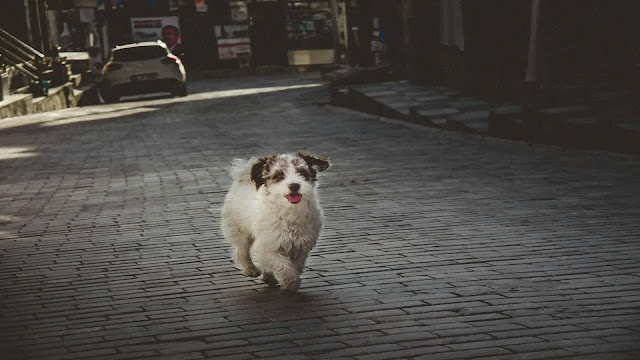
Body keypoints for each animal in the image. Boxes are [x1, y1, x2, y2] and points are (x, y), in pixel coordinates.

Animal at [220, 153, 330, 292]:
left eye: (302, 172)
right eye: (279, 175)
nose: (294, 185)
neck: (290, 210)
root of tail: (243, 175)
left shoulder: (302, 244)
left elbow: (297, 263)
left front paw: (293, 275)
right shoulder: (269, 245)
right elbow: (281, 264)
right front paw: (292, 282)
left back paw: (268, 276)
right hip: (240, 230)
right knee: (242, 251)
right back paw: (251, 269)